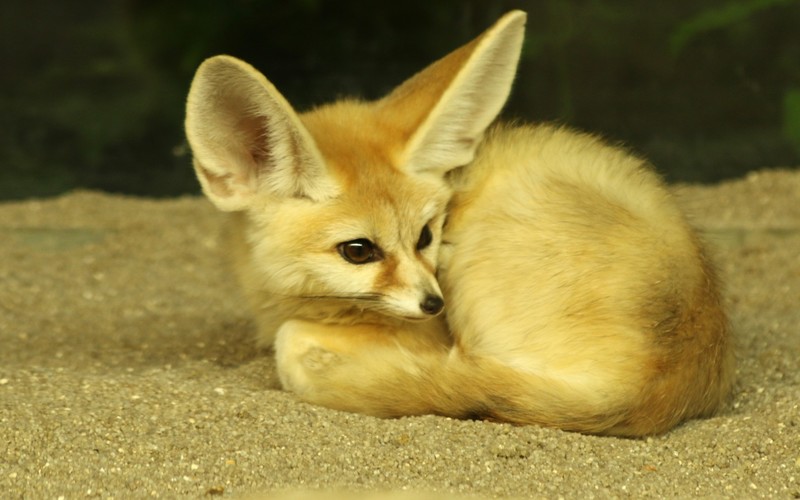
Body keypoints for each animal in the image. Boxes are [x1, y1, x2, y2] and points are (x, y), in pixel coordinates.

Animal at [184, 10, 734, 436]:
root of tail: (665, 384)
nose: (434, 304)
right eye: (358, 250)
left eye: (426, 235)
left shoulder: (426, 334)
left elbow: (293, 342)